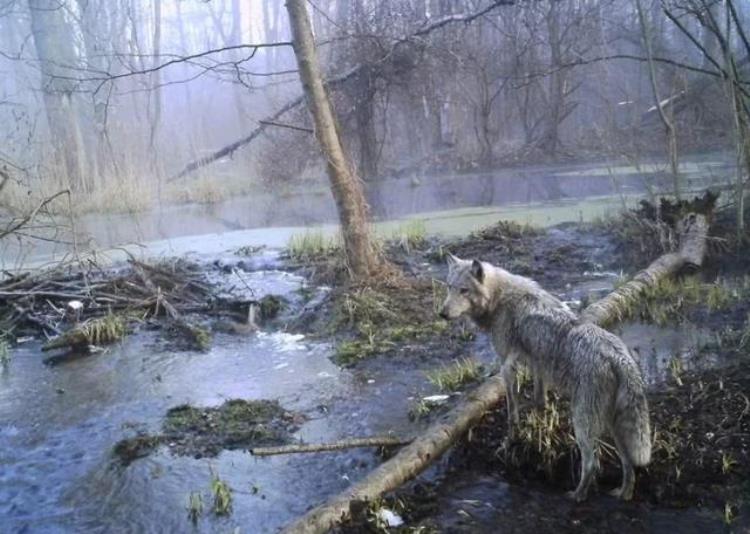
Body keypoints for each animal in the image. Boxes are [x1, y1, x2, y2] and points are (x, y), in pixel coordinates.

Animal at [440, 255, 652, 502]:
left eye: (463, 290)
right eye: (449, 287)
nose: (442, 314)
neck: (499, 298)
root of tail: (619, 357)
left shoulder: (507, 367)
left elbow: (512, 413)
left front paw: (511, 441)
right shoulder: (537, 365)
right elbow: (539, 402)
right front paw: (538, 432)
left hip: (583, 423)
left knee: (592, 464)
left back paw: (577, 495)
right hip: (613, 426)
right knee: (628, 464)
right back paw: (623, 494)